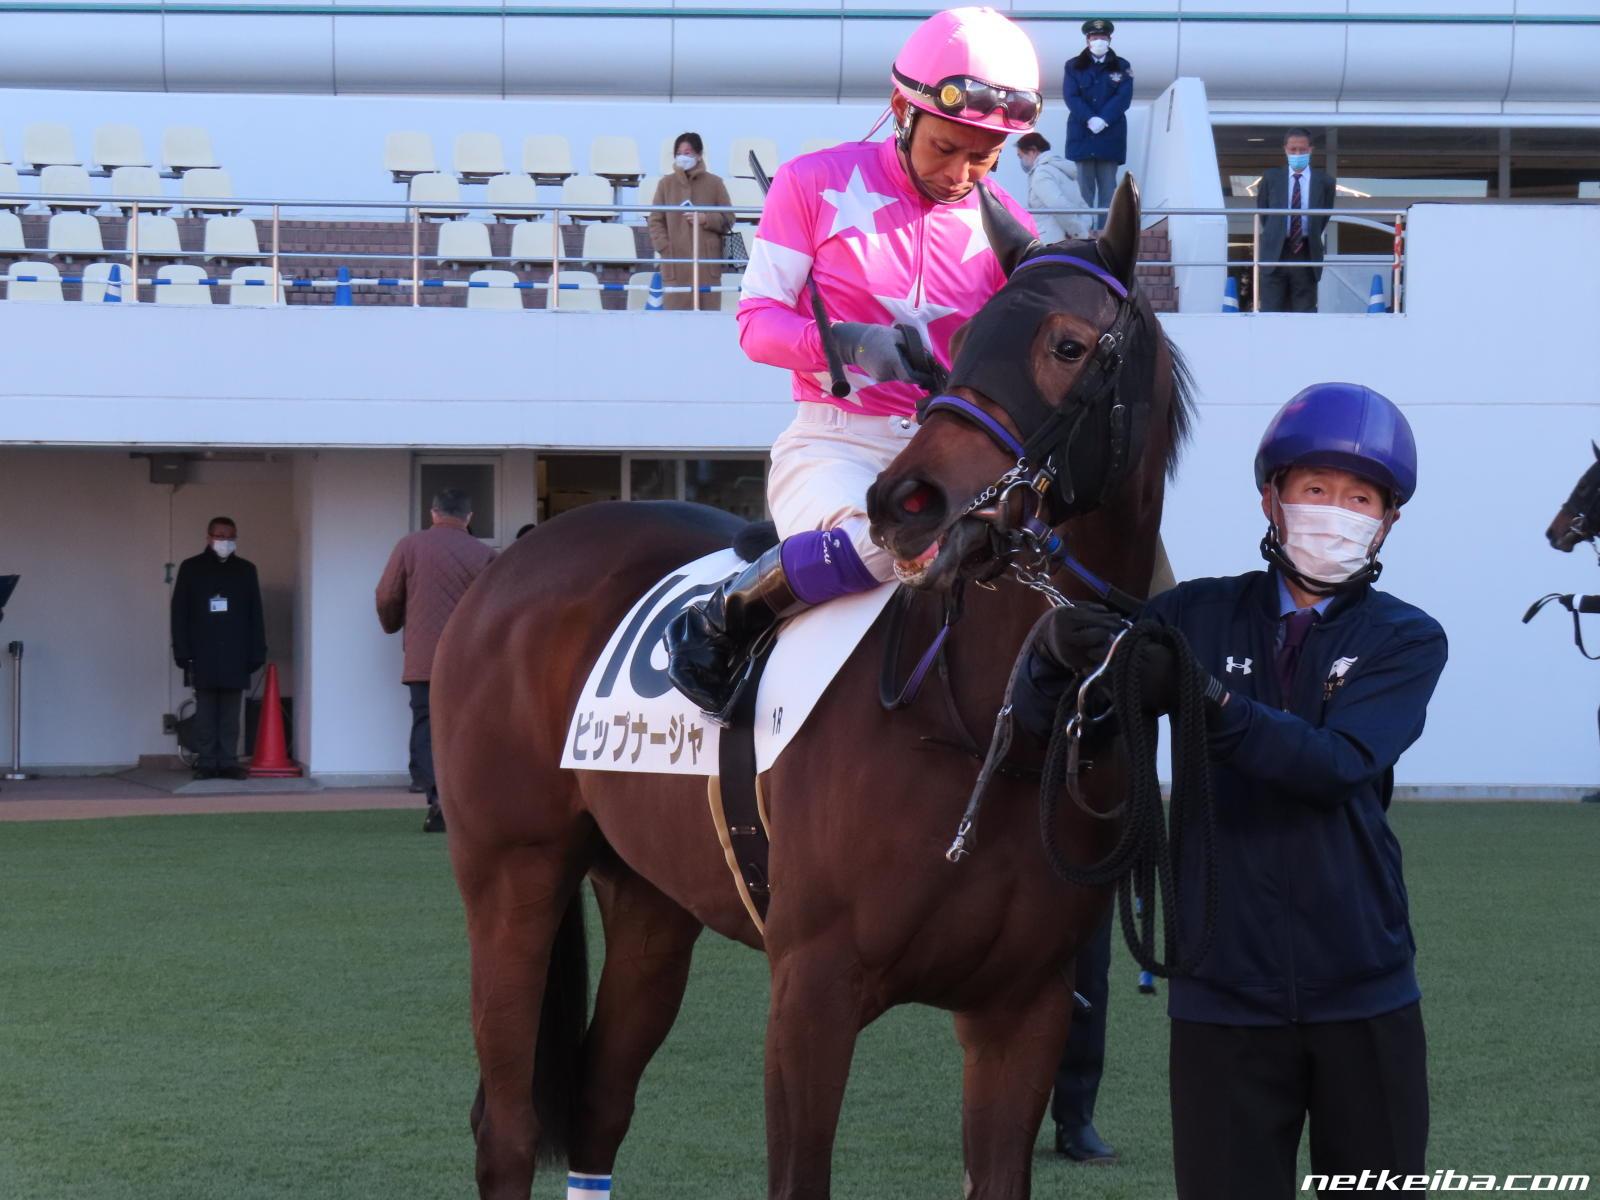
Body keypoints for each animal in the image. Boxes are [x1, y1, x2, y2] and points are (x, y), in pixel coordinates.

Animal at [431, 175, 1195, 1200]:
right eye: (966, 337)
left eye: (1067, 345)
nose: (908, 503)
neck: (985, 715)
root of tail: (516, 558)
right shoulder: (811, 991)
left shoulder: (1023, 1008)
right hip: (512, 872)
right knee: (508, 1126)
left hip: (650, 898)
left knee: (599, 1105)